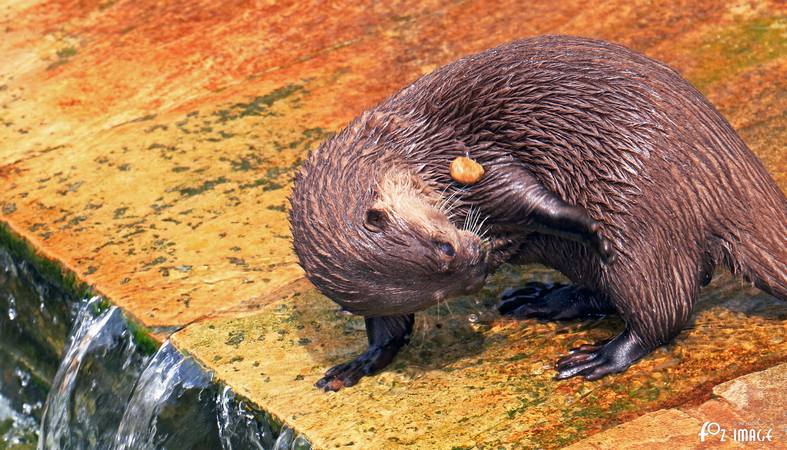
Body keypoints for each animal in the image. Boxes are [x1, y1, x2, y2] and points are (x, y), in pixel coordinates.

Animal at [289, 35, 787, 391]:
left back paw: (600, 356)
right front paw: (362, 360)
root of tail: (728, 169)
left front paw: (585, 222)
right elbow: (388, 328)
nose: (479, 268)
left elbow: (526, 195)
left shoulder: (470, 157)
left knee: (664, 311)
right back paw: (543, 299)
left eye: (444, 247)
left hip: (646, 231)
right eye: (433, 296)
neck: (409, 148)